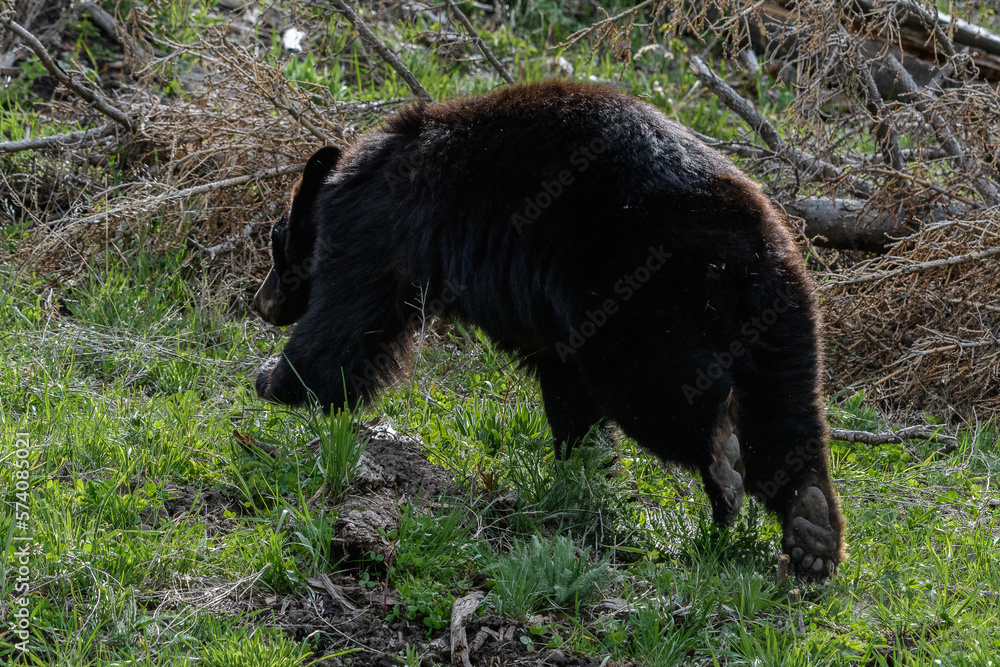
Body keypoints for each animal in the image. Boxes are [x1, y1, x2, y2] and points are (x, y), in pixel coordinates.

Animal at [252, 81, 844, 579]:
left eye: (276, 242)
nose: (261, 303)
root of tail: (744, 243)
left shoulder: (378, 228)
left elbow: (347, 323)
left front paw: (275, 380)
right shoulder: (551, 323)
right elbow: (566, 387)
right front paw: (582, 461)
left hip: (638, 298)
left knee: (660, 391)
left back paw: (723, 466)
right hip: (782, 313)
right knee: (786, 409)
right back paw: (812, 529)